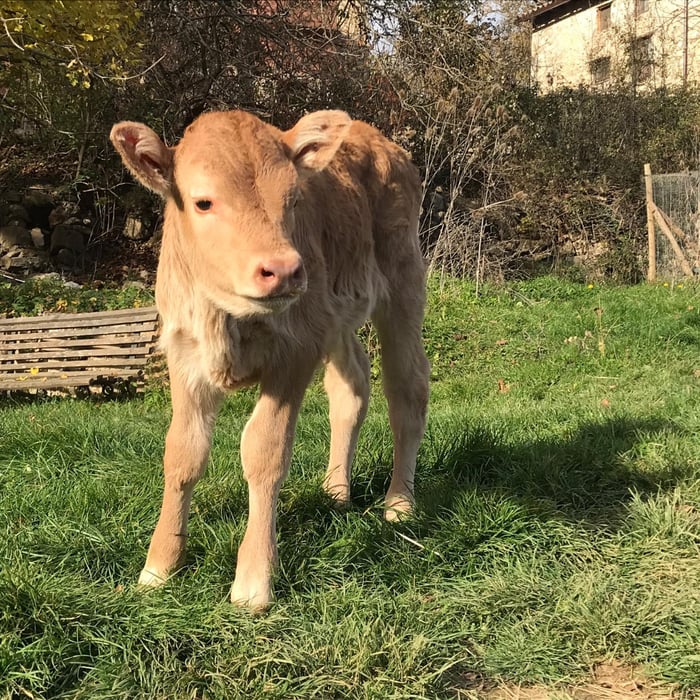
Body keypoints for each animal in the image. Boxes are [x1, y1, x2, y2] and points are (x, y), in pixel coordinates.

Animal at [110, 109, 430, 608]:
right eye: (203, 202)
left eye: (294, 198)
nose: (283, 270)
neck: (227, 318)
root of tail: (377, 139)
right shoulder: (185, 354)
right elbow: (182, 453)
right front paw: (159, 566)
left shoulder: (294, 353)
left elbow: (264, 451)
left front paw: (254, 581)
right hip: (335, 317)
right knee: (351, 386)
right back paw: (335, 490)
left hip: (402, 285)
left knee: (407, 391)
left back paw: (399, 503)